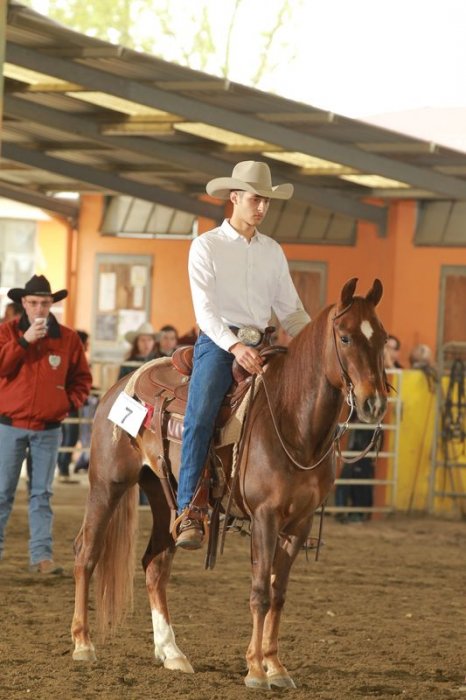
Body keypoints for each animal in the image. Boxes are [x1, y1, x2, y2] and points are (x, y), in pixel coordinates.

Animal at [71, 277, 388, 689]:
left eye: (382, 337)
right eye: (346, 337)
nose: (374, 404)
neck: (292, 421)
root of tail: (121, 384)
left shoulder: (299, 523)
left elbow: (279, 593)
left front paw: (276, 666)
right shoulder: (266, 517)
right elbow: (260, 592)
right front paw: (255, 669)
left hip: (164, 495)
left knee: (155, 565)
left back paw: (172, 652)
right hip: (107, 483)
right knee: (87, 552)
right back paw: (83, 644)